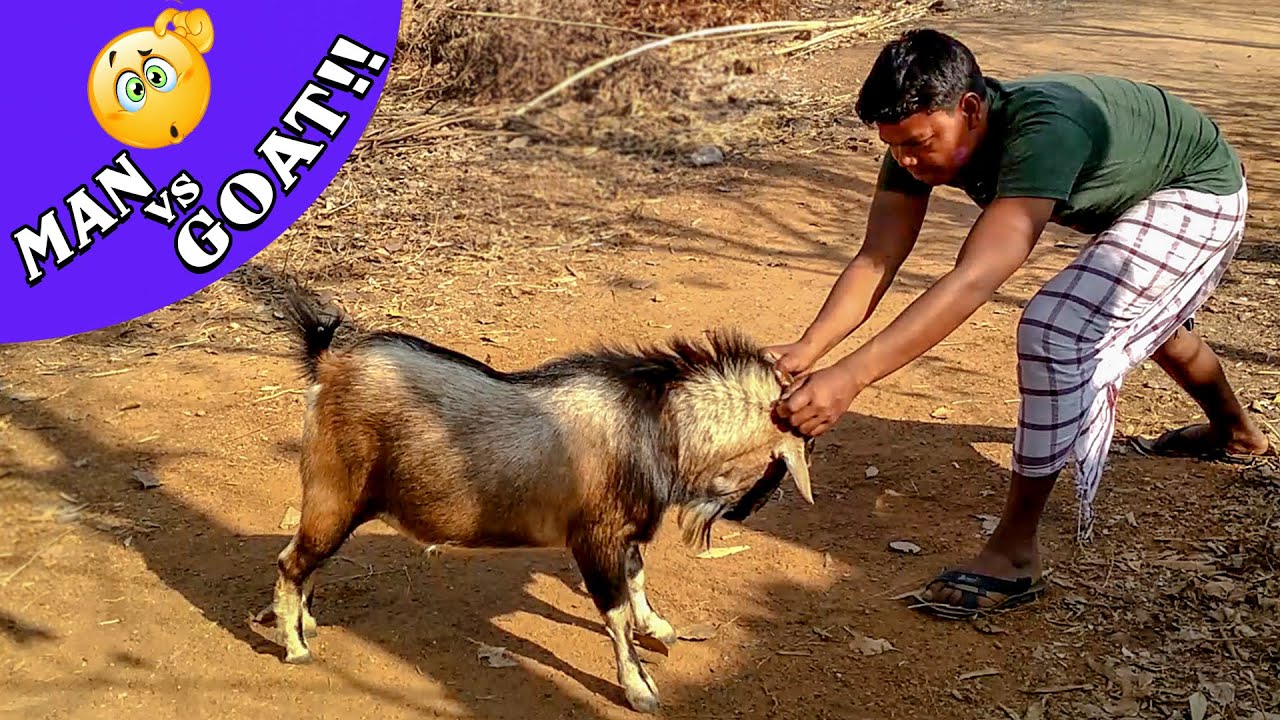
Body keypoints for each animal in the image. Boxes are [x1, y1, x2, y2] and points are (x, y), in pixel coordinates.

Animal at [267, 286, 816, 714]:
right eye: (776, 473)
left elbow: (637, 578)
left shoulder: (622, 534)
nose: (743, 512)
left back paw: (308, 623)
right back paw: (295, 645)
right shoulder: (595, 539)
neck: (658, 421)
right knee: (292, 561)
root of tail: (329, 365)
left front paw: (658, 627)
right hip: (334, 494)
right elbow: (616, 612)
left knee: (308, 561)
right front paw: (639, 688)